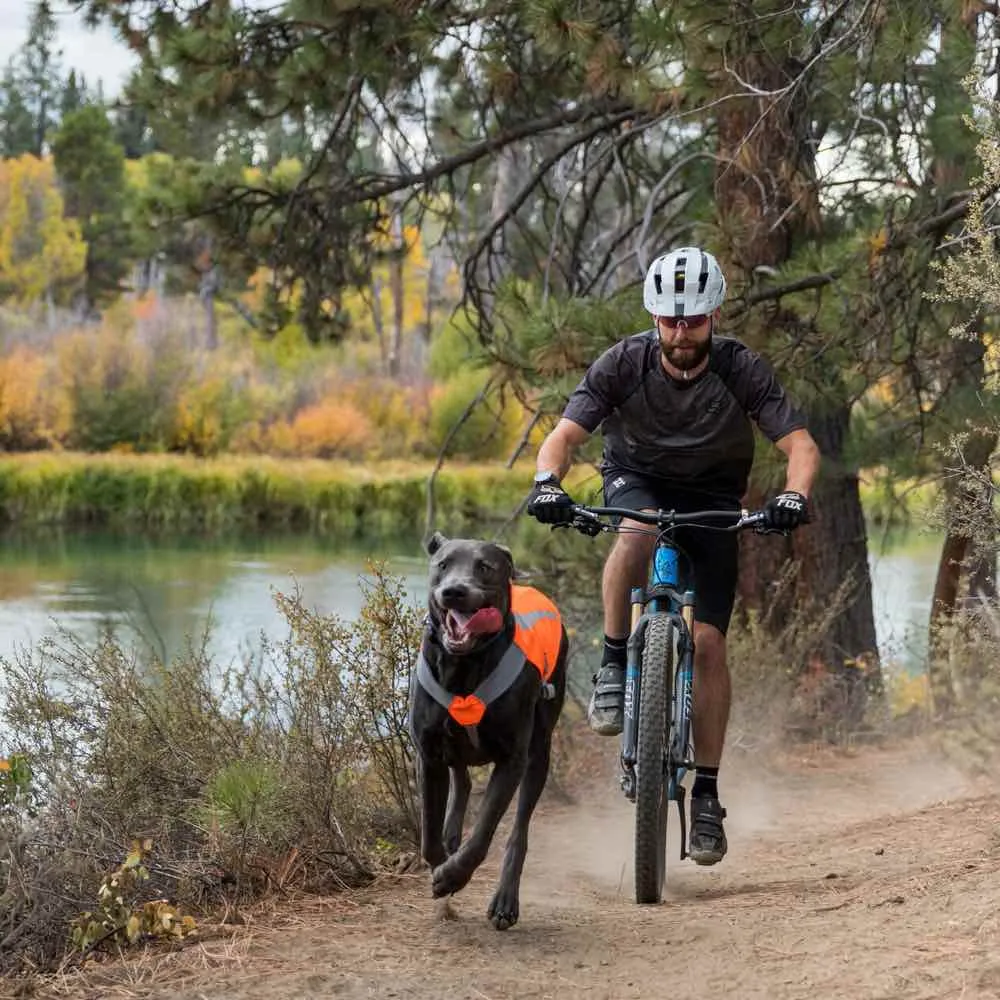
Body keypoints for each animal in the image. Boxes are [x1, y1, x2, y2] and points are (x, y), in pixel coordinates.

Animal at [406, 532, 564, 928]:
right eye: (443, 564)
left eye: (485, 567)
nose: (454, 591)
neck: (464, 665)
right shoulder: (428, 754)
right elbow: (428, 833)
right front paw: (441, 866)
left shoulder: (511, 760)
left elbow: (484, 833)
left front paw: (453, 876)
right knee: (461, 779)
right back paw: (451, 835)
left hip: (538, 753)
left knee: (518, 832)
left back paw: (505, 900)